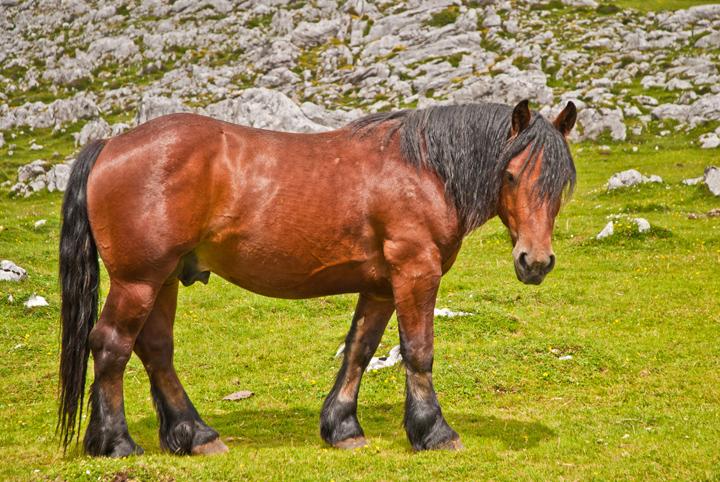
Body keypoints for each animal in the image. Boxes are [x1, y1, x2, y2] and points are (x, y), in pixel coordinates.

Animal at [56, 98, 576, 456]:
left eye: (560, 183)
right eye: (510, 176)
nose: (535, 262)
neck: (424, 170)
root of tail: (110, 145)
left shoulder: (380, 286)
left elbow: (360, 350)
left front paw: (342, 427)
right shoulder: (415, 272)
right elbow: (418, 351)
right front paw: (434, 431)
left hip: (162, 280)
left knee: (156, 350)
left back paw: (195, 434)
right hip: (139, 281)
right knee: (111, 345)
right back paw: (116, 442)